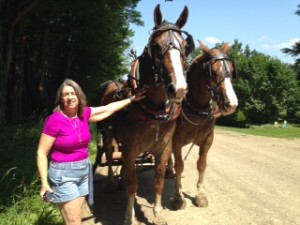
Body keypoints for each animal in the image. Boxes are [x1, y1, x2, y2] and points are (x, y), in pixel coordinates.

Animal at [94, 3, 195, 225]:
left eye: (185, 47)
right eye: (156, 46)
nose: (179, 88)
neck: (154, 111)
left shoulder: (163, 149)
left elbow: (158, 180)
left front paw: (157, 213)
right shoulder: (131, 147)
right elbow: (134, 183)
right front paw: (129, 216)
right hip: (107, 133)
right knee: (108, 153)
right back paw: (113, 182)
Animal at [171, 40, 239, 211]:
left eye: (231, 70)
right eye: (212, 72)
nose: (232, 104)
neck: (196, 108)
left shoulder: (208, 140)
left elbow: (201, 165)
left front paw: (200, 195)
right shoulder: (176, 140)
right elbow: (179, 164)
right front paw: (178, 196)